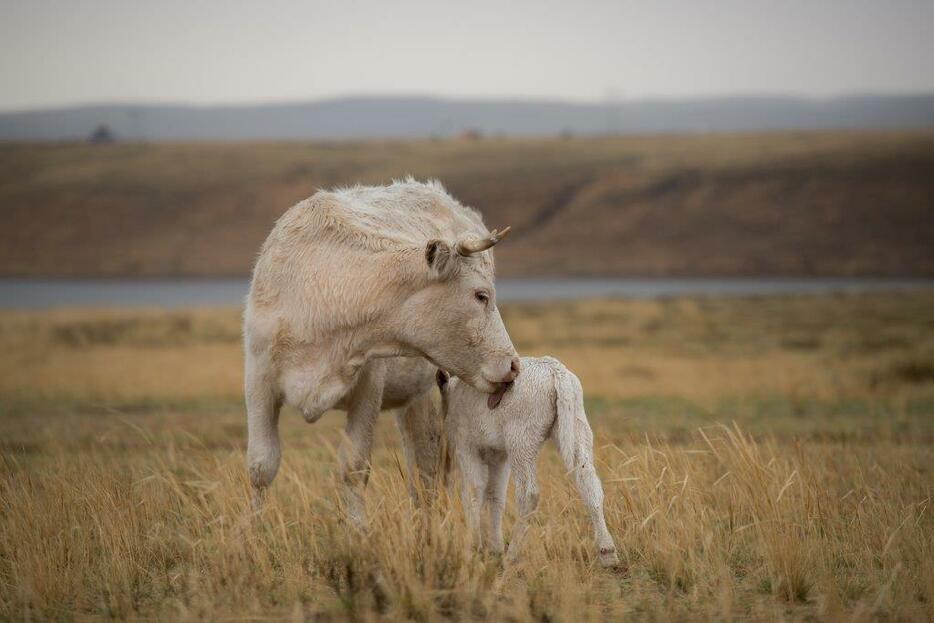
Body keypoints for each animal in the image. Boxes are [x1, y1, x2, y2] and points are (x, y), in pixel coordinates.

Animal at [243, 178, 520, 524]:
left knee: (427, 464)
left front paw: (358, 529)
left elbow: (354, 467)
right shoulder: (259, 380)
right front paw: (252, 530)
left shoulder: (368, 386)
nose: (513, 365)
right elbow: (261, 466)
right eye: (481, 295)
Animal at [438, 358, 620, 568]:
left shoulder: (466, 447)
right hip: (576, 427)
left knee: (529, 494)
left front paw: (474, 546)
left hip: (521, 442)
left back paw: (512, 555)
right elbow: (496, 495)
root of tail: (555, 370)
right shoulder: (499, 455)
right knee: (589, 483)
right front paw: (495, 547)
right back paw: (608, 553)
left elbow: (473, 492)